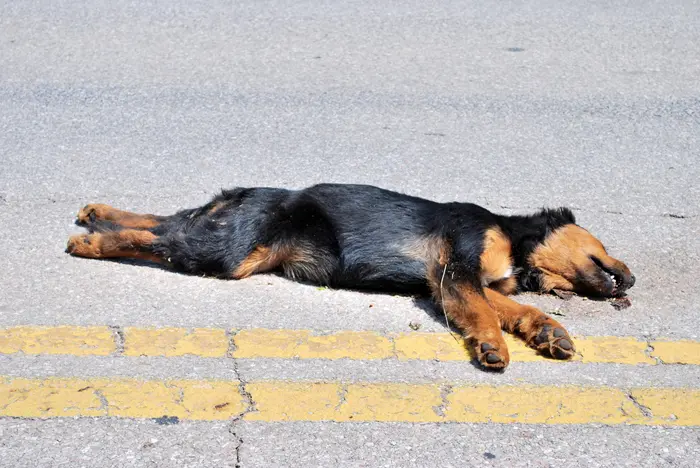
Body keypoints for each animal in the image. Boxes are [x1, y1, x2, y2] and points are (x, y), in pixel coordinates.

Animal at [65, 185, 636, 372]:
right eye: (606, 245)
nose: (631, 280)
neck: (517, 243)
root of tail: (239, 194)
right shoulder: (456, 271)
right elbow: (482, 315)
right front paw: (492, 347)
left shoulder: (462, 283)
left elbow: (518, 309)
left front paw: (548, 332)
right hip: (228, 250)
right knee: (158, 239)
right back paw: (89, 242)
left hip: (223, 235)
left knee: (162, 223)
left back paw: (94, 214)